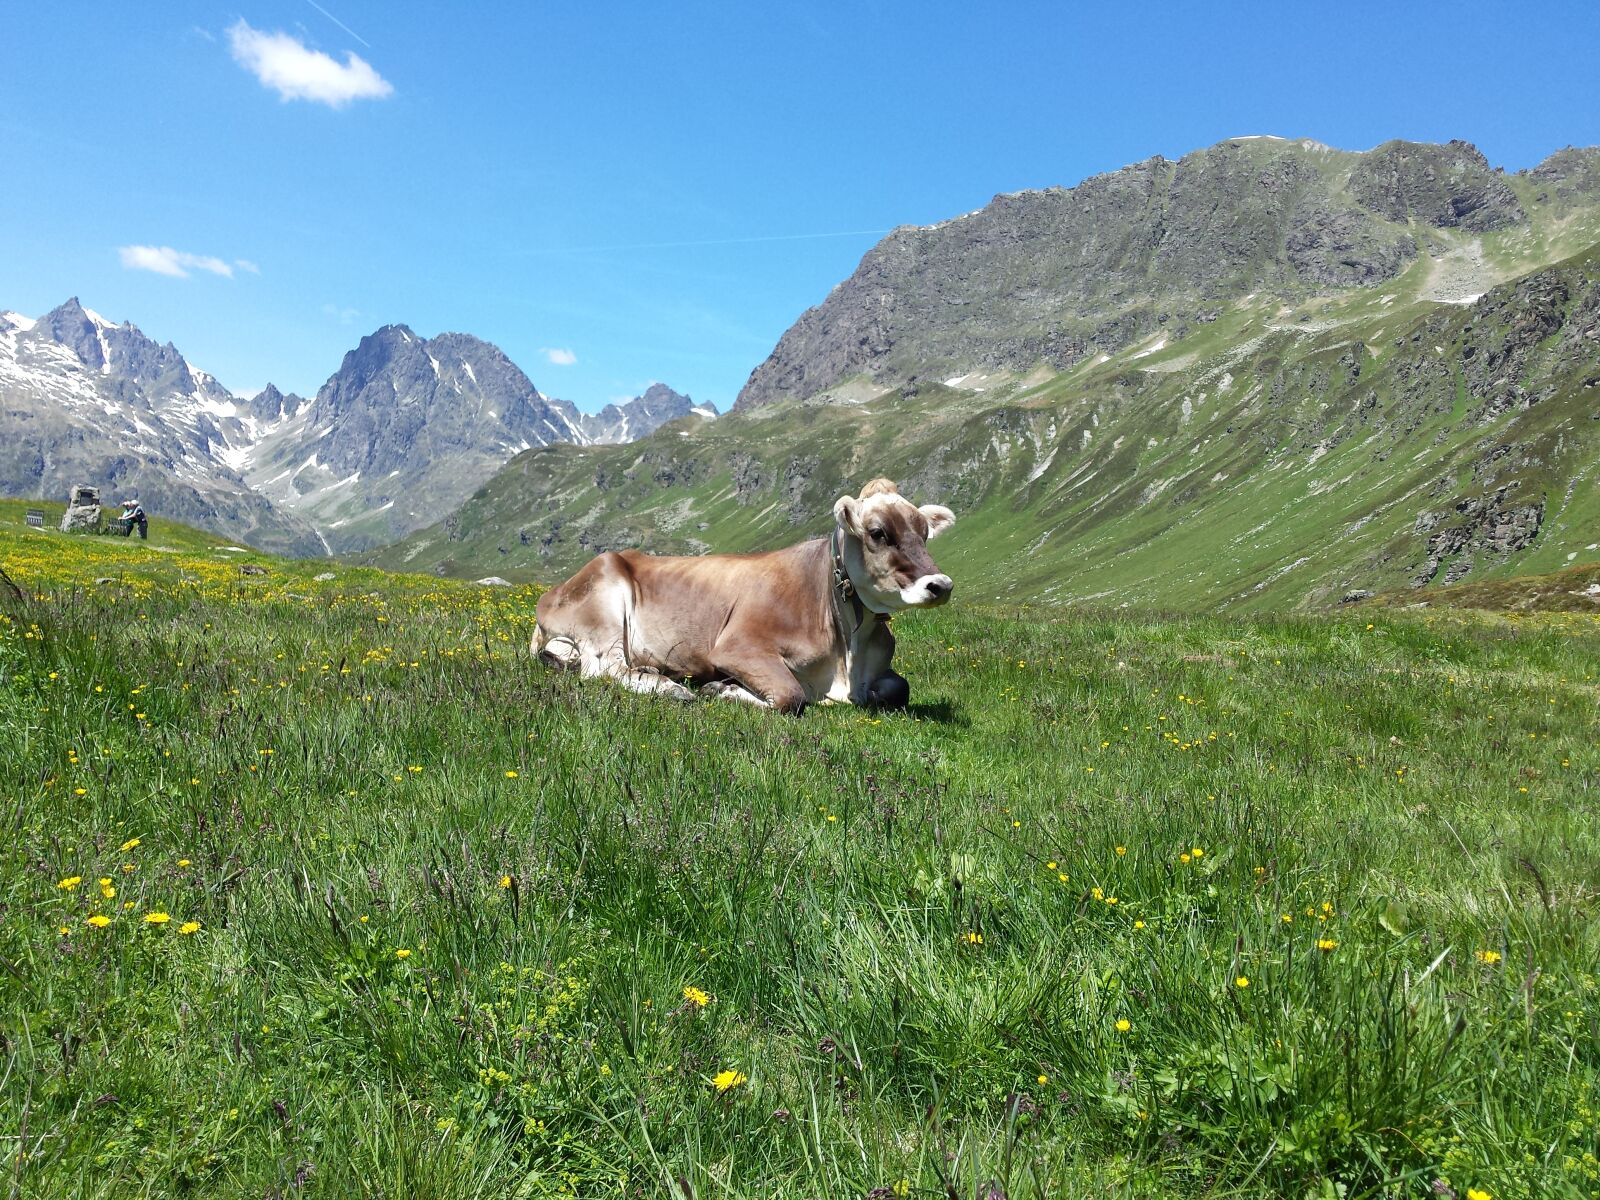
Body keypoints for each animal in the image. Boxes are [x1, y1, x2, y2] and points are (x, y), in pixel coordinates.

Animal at [531, 478, 955, 714]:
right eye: (878, 532)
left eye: (924, 532)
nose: (941, 584)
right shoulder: (737, 646)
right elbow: (790, 695)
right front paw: (720, 688)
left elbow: (898, 688)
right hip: (605, 602)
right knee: (602, 670)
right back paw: (671, 688)